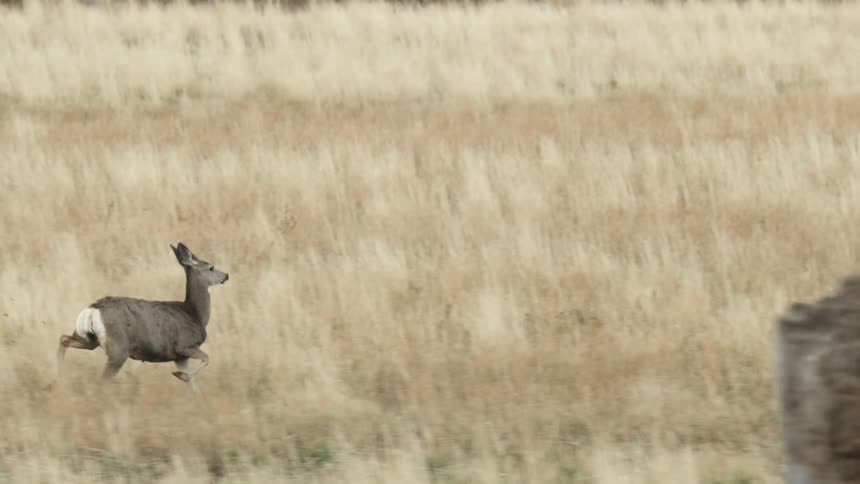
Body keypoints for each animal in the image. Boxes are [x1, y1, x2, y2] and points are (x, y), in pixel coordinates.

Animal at [57, 242, 229, 391]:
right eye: (211, 267)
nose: (226, 275)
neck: (195, 314)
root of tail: (93, 309)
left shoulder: (179, 357)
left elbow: (193, 386)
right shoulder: (185, 345)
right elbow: (206, 359)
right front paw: (181, 375)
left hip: (89, 339)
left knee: (64, 338)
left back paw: (59, 376)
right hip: (118, 349)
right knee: (102, 380)